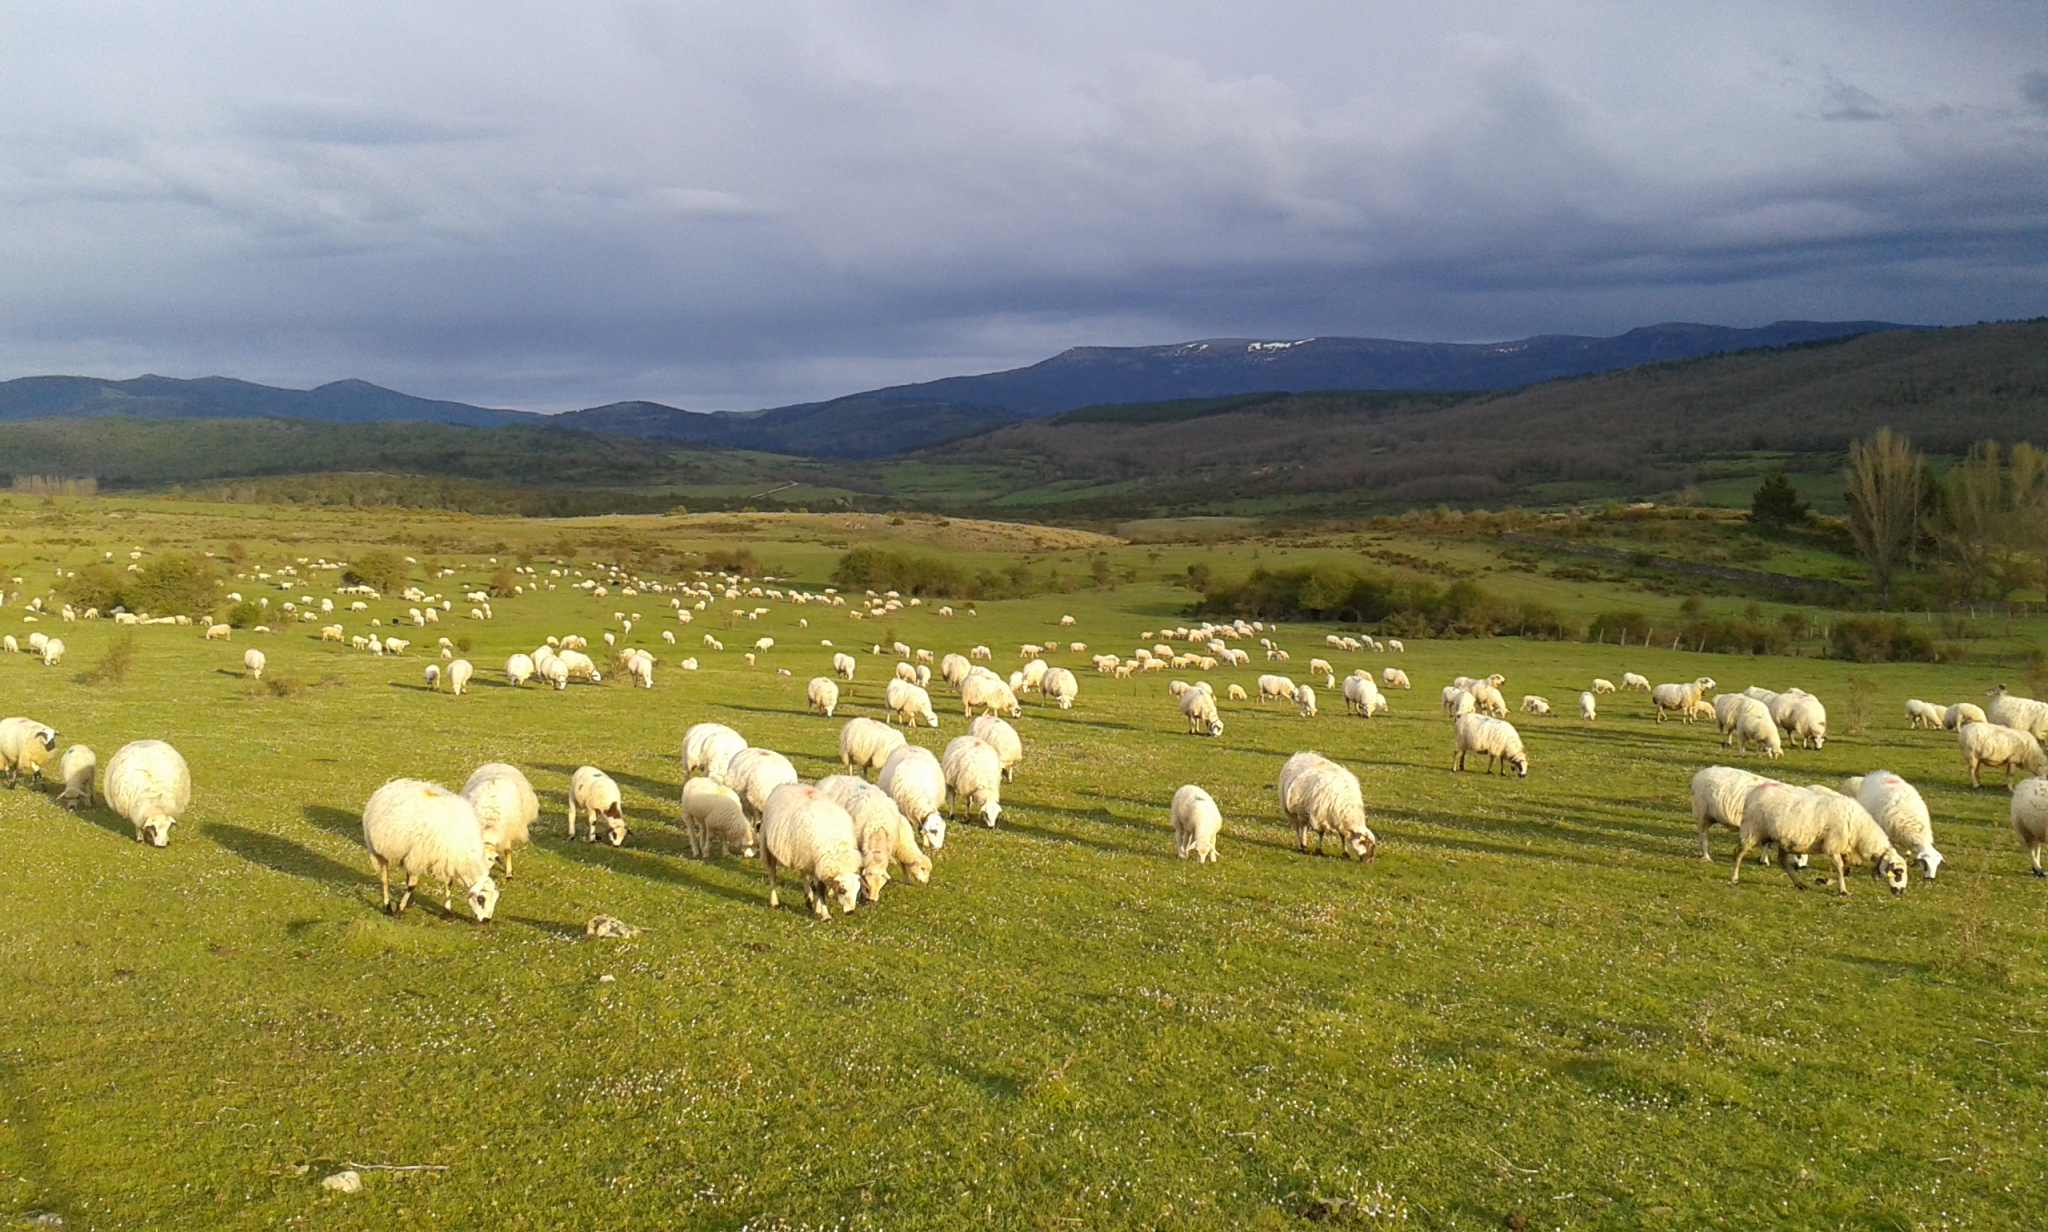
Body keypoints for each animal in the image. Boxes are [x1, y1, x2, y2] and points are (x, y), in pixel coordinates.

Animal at [362, 773, 501, 916]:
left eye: (495, 900)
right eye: (481, 899)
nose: (486, 920)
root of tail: (391, 783)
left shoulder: (446, 860)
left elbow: (449, 883)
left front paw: (447, 911)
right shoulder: (420, 858)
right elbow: (412, 885)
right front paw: (399, 910)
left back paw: (410, 901)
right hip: (379, 851)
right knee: (384, 878)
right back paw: (388, 906)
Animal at [765, 781, 868, 916]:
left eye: (857, 890)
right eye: (842, 890)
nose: (850, 912)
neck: (838, 846)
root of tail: (789, 785)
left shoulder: (818, 863)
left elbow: (819, 888)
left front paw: (818, 909)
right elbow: (820, 890)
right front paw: (825, 915)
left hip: (803, 854)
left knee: (803, 874)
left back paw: (808, 899)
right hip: (767, 845)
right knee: (772, 874)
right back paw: (774, 902)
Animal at [1736, 777, 1908, 892]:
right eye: (1898, 873)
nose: (1901, 892)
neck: (1861, 833)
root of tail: (1755, 791)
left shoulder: (1845, 849)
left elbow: (1845, 869)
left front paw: (1826, 881)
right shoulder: (1833, 845)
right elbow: (1840, 868)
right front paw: (1843, 891)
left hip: (1780, 838)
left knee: (1782, 861)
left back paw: (1799, 884)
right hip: (1752, 829)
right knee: (1739, 852)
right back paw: (1734, 879)